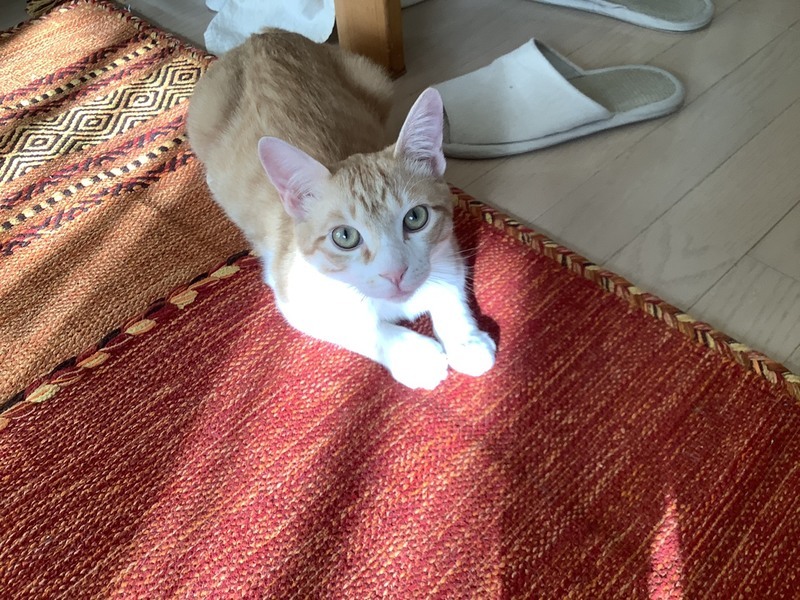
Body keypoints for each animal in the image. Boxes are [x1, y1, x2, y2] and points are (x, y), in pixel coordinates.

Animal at [187, 29, 495, 389]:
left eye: (415, 218)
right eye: (345, 236)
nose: (395, 273)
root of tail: (262, 35)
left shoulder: (447, 249)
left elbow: (449, 288)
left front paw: (466, 340)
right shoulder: (293, 295)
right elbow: (360, 326)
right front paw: (414, 355)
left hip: (373, 77)